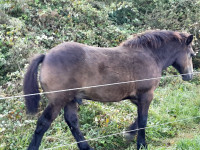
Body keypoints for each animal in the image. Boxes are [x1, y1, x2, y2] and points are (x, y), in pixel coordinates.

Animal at [23, 29, 194, 149]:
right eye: (192, 54)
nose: (190, 75)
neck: (150, 56)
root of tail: (46, 56)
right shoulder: (146, 95)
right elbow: (143, 119)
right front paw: (141, 144)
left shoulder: (136, 97)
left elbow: (140, 117)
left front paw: (129, 134)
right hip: (58, 101)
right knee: (43, 124)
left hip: (70, 100)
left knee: (72, 122)